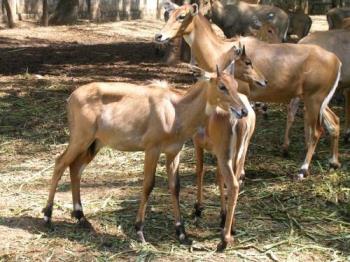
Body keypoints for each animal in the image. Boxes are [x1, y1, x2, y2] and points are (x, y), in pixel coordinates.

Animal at [42, 67, 247, 248]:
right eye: (222, 86)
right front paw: (139, 231)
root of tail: (71, 97)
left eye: (236, 84)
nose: (243, 111)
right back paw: (47, 216)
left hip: (95, 143)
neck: (175, 111)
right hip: (80, 138)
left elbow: (175, 187)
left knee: (75, 167)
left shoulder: (173, 152)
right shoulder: (152, 149)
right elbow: (148, 185)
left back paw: (81, 217)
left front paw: (182, 233)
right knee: (60, 163)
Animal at [156, 2, 342, 180]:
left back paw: (303, 170)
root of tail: (336, 60)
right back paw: (333, 162)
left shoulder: (242, 95)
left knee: (317, 131)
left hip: (314, 100)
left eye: (182, 16)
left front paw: (241, 172)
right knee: (334, 122)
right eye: (168, 14)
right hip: (316, 100)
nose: (159, 36)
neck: (221, 52)